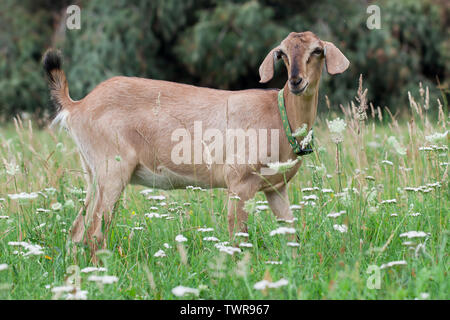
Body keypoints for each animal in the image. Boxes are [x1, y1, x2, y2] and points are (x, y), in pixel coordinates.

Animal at [42, 31, 350, 258]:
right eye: (282, 53)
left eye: (317, 50)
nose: (296, 81)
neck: (278, 113)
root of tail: (77, 106)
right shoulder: (239, 181)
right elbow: (237, 237)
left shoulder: (275, 187)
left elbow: (291, 234)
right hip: (113, 171)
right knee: (95, 232)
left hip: (93, 174)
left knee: (76, 231)